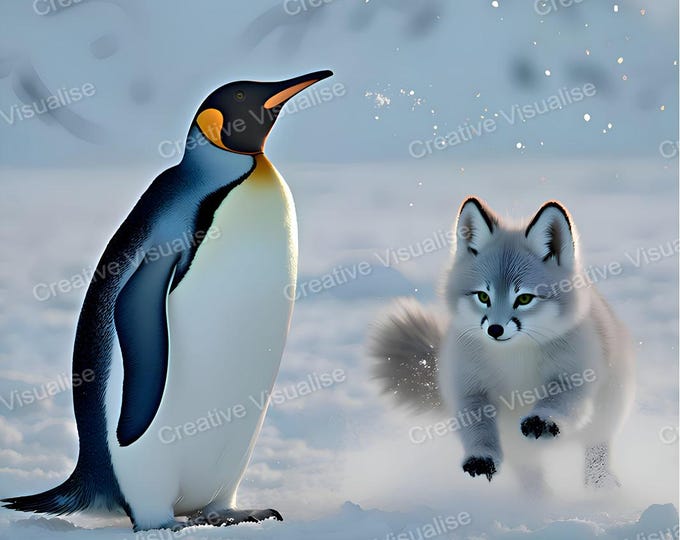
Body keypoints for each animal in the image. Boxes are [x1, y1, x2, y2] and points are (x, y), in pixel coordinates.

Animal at [369, 196, 635, 491]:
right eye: (483, 296)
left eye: (524, 298)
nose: (495, 329)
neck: (514, 359)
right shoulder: (469, 389)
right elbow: (478, 429)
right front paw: (481, 456)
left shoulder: (574, 378)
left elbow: (559, 403)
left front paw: (542, 420)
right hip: (522, 453)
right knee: (532, 477)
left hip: (605, 416)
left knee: (595, 450)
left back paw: (599, 485)